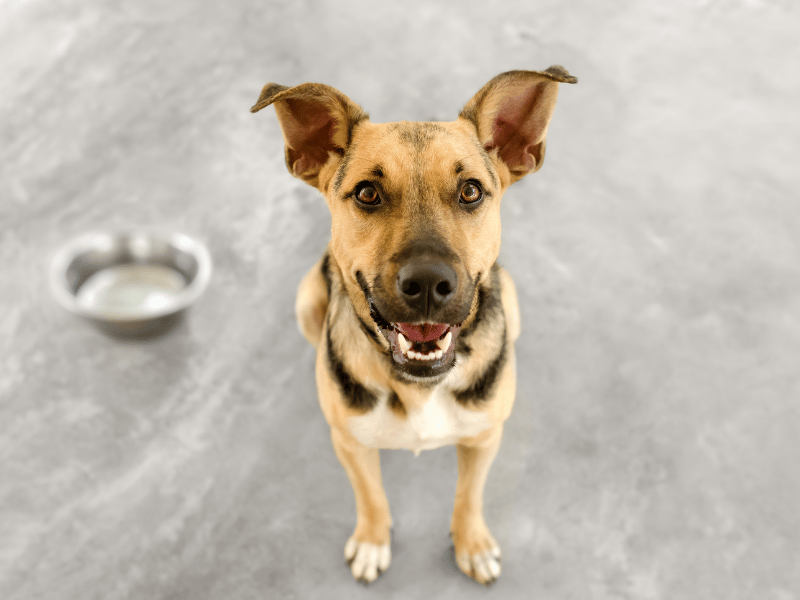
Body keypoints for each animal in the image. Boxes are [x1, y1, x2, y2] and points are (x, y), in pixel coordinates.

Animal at [250, 67, 576, 584]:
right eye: (367, 193)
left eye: (470, 191)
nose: (427, 284)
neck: (420, 385)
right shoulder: (351, 444)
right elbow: (371, 495)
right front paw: (372, 540)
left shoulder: (485, 438)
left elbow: (469, 494)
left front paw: (472, 543)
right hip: (306, 301)